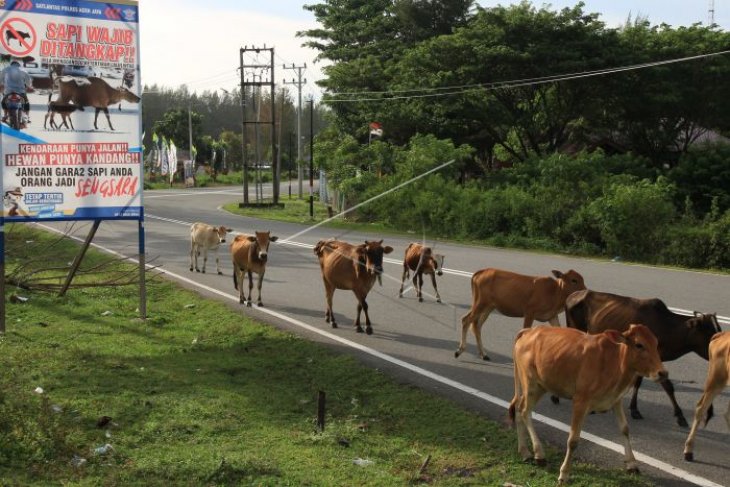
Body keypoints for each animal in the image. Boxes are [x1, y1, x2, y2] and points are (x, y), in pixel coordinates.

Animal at [456, 266, 584, 362]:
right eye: (574, 280)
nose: (584, 291)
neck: (555, 293)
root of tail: (479, 272)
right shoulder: (529, 311)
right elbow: (524, 332)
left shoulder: (552, 316)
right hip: (481, 303)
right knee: (466, 320)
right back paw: (459, 351)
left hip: (489, 307)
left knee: (476, 325)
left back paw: (484, 354)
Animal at [506, 326, 664, 486]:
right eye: (639, 345)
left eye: (656, 343)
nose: (662, 373)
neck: (612, 362)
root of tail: (529, 331)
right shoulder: (580, 401)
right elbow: (573, 440)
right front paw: (564, 473)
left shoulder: (615, 400)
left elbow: (625, 429)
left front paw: (632, 464)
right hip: (530, 383)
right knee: (524, 410)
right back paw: (539, 454)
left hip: (541, 386)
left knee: (519, 408)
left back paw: (525, 451)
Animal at [564, 290, 716, 428]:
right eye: (710, 333)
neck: (667, 327)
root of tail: (572, 295)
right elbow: (667, 385)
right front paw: (680, 416)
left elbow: (638, 382)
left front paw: (634, 409)